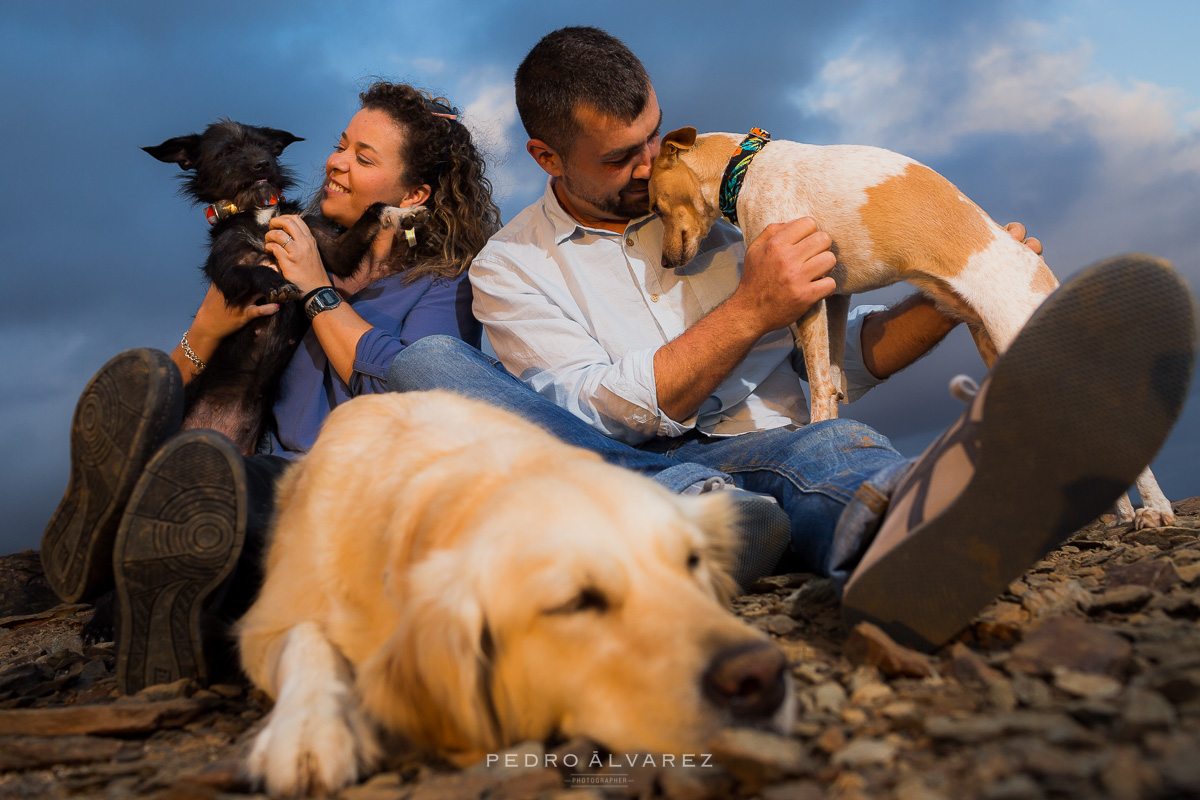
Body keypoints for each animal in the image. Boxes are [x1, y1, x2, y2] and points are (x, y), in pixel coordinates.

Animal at [144, 121, 420, 453]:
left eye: (264, 146)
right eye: (227, 152)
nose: (262, 163)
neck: (259, 213)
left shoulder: (329, 247)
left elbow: (372, 211)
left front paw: (398, 212)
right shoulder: (227, 271)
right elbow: (258, 270)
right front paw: (279, 284)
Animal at [236, 388, 796, 796]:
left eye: (691, 562)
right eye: (575, 603)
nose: (762, 675)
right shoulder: (266, 620)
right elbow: (305, 638)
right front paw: (308, 731)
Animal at [657, 126, 1171, 532]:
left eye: (657, 205)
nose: (662, 262)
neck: (746, 166)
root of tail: (1037, 266)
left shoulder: (805, 292)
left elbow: (820, 386)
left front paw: (817, 430)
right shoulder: (836, 294)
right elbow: (834, 375)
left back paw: (1155, 511)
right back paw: (1118, 512)